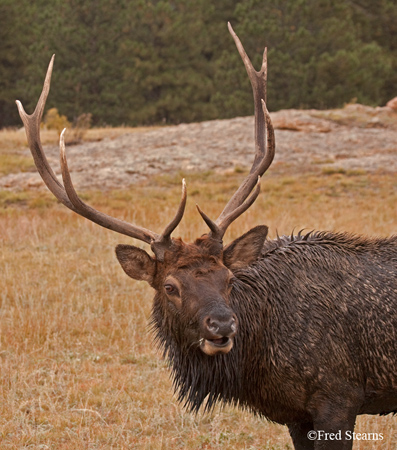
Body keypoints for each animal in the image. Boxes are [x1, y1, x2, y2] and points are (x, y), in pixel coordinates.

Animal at [17, 23, 394, 450]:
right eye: (169, 286)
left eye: (229, 279)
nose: (223, 325)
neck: (261, 363)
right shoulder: (296, 414)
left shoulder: (340, 395)